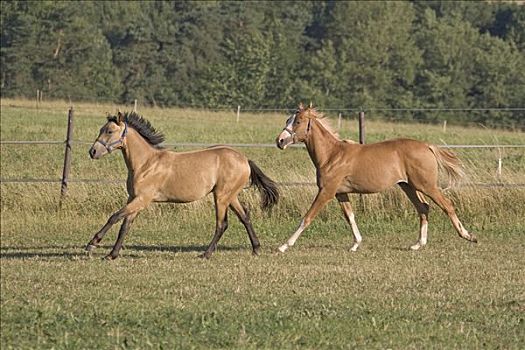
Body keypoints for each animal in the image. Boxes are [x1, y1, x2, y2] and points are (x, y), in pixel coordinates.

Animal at [86, 110, 278, 258]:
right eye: (102, 129)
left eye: (109, 131)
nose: (92, 152)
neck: (146, 164)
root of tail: (245, 160)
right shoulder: (133, 199)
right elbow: (125, 226)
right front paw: (111, 255)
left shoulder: (142, 199)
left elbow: (115, 216)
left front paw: (92, 243)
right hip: (230, 196)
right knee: (244, 217)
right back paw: (256, 249)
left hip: (221, 196)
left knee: (222, 224)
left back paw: (206, 254)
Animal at [276, 102, 476, 253]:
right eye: (287, 120)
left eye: (298, 121)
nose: (280, 141)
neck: (332, 155)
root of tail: (427, 146)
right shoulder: (341, 193)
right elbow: (350, 217)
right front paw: (355, 244)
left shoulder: (326, 192)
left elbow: (307, 217)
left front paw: (284, 245)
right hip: (408, 186)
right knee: (423, 208)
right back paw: (418, 244)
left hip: (426, 185)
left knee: (447, 205)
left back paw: (468, 236)